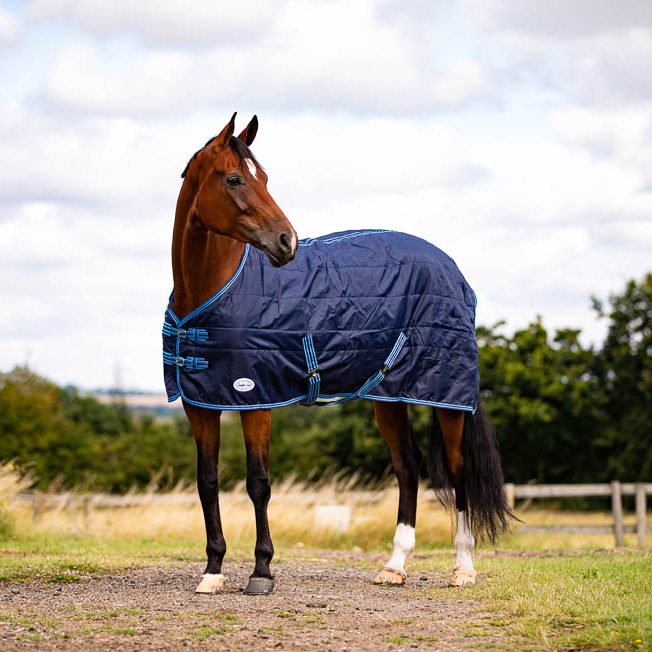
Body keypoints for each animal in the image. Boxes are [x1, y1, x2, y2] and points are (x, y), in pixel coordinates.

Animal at [164, 113, 512, 596]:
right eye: (234, 179)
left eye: (264, 178)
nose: (286, 241)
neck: (215, 289)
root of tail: (453, 270)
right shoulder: (200, 402)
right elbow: (208, 481)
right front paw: (213, 571)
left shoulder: (256, 399)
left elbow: (258, 483)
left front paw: (261, 571)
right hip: (389, 396)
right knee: (408, 467)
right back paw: (395, 565)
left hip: (446, 397)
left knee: (457, 469)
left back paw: (463, 568)